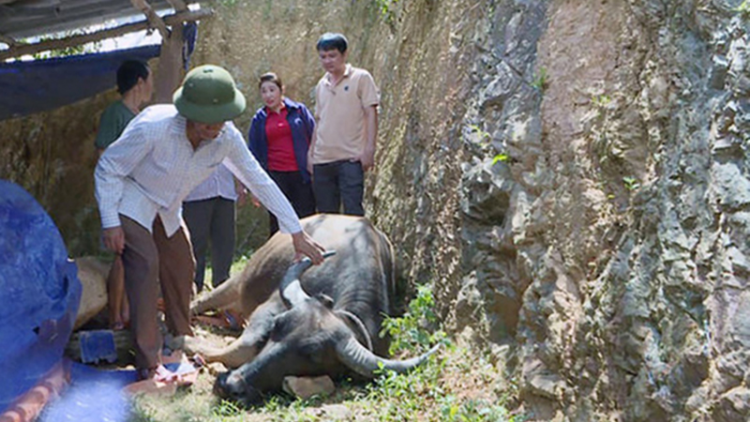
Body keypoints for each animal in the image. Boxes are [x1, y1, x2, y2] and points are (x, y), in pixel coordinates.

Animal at [170, 216, 438, 404]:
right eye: (277, 325)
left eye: (312, 355)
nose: (230, 385)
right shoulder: (269, 307)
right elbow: (244, 346)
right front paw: (182, 341)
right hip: (241, 279)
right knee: (204, 300)